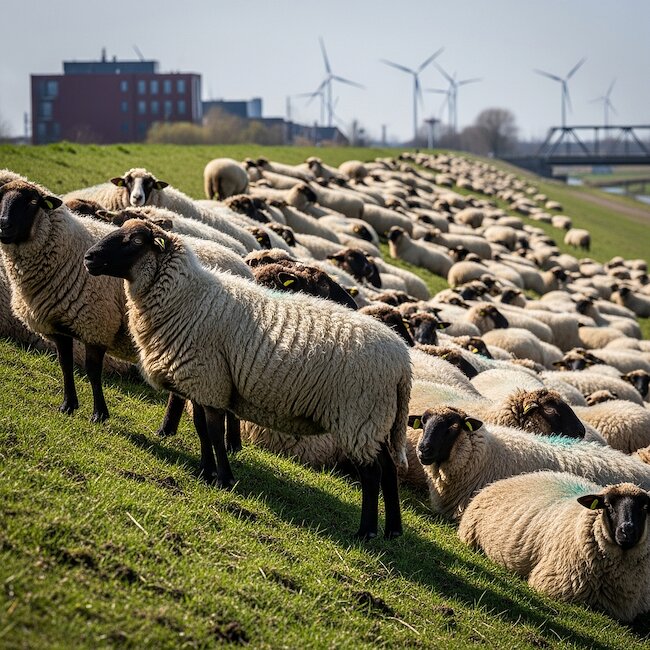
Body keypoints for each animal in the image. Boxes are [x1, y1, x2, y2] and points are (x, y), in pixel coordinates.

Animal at [85, 219, 413, 540]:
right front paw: (206, 471)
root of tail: (403, 362)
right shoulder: (201, 380)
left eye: (137, 241)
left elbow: (214, 432)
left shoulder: (209, 377)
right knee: (388, 468)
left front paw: (223, 478)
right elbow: (201, 429)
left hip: (358, 416)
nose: (89, 257)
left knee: (371, 474)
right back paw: (393, 529)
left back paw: (366, 531)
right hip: (374, 420)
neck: (188, 297)